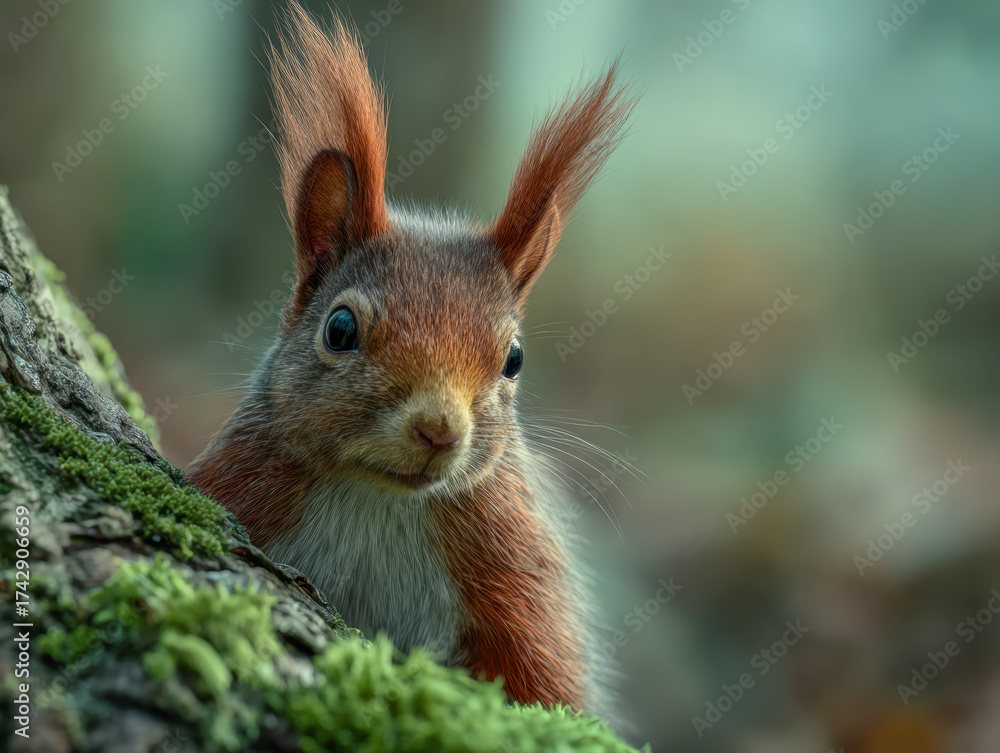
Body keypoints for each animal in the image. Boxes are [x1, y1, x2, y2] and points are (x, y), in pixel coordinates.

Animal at [188, 0, 635, 719]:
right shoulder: (244, 485)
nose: (438, 430)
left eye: (514, 358)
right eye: (340, 329)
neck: (377, 496)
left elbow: (548, 688)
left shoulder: (516, 579)